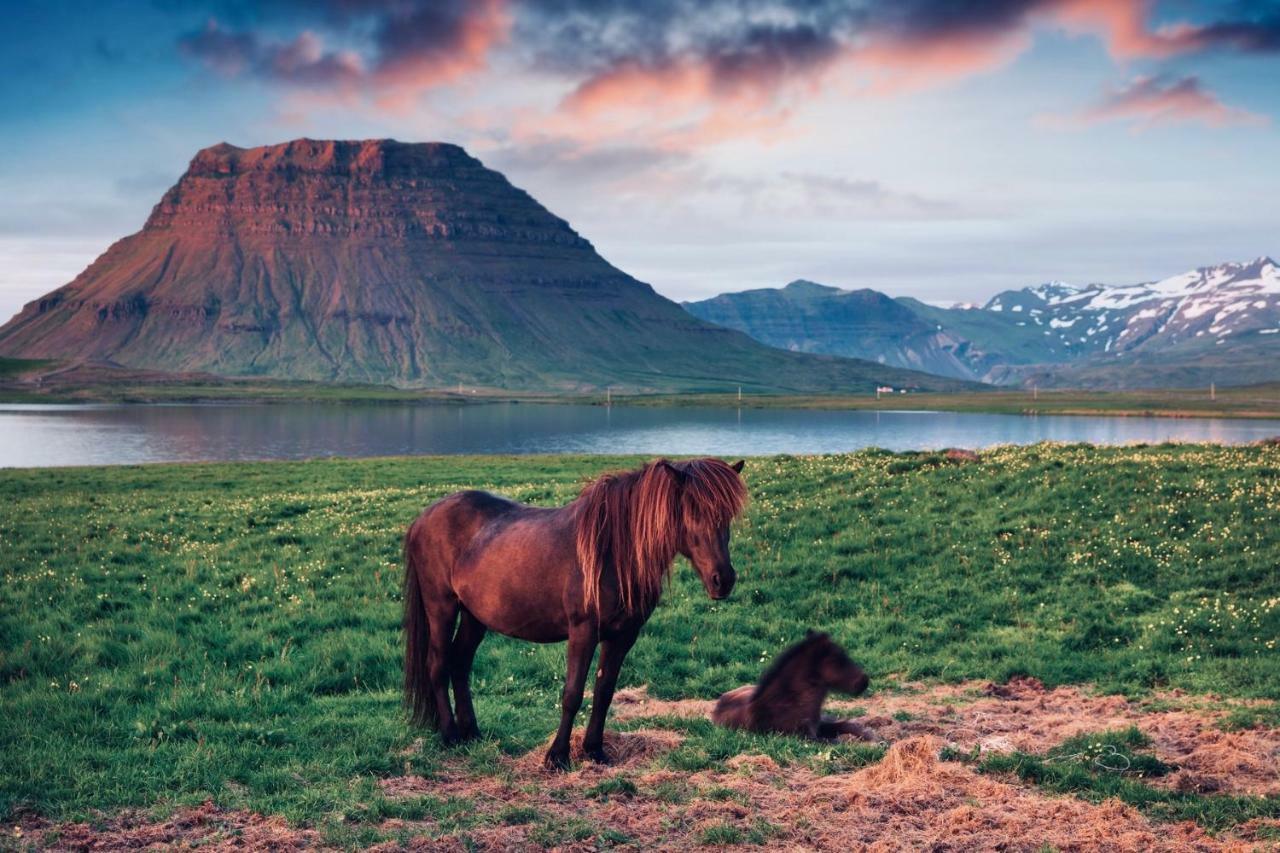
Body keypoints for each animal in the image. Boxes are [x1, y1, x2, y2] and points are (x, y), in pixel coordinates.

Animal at [396, 455, 742, 768]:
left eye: (727, 514)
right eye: (693, 510)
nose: (723, 580)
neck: (614, 552)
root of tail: (424, 517)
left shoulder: (622, 636)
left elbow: (604, 692)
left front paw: (594, 750)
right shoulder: (583, 632)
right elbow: (573, 694)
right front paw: (558, 757)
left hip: (474, 615)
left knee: (460, 662)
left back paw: (473, 734)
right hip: (441, 607)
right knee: (438, 665)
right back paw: (451, 736)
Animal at [711, 627, 880, 742]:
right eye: (838, 659)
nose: (864, 681)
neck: (789, 702)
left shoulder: (818, 726)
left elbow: (846, 725)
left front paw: (872, 736)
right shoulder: (803, 737)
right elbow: (834, 741)